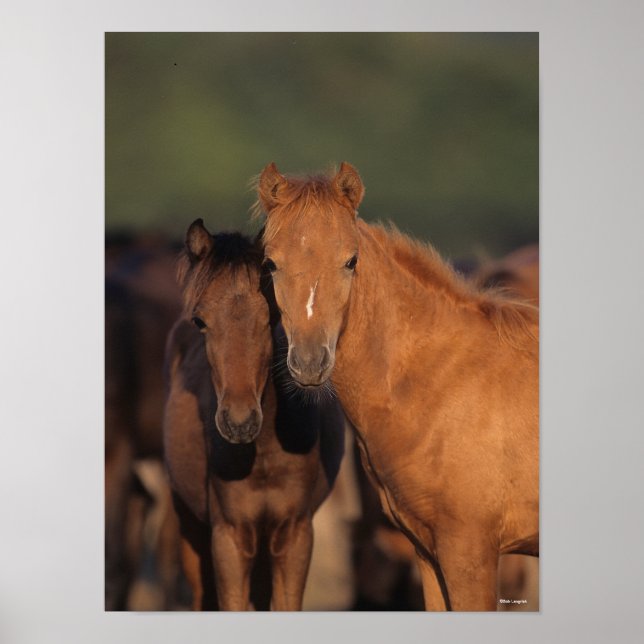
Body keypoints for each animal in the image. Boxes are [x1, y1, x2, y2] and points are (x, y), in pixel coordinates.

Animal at [163, 220, 345, 610]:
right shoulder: (229, 537)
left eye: (272, 317)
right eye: (200, 320)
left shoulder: (294, 534)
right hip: (190, 528)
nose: (239, 421)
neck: (263, 456)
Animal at [255, 162, 539, 611]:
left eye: (350, 261)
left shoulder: (470, 551)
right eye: (270, 263)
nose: (310, 361)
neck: (443, 382)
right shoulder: (428, 553)